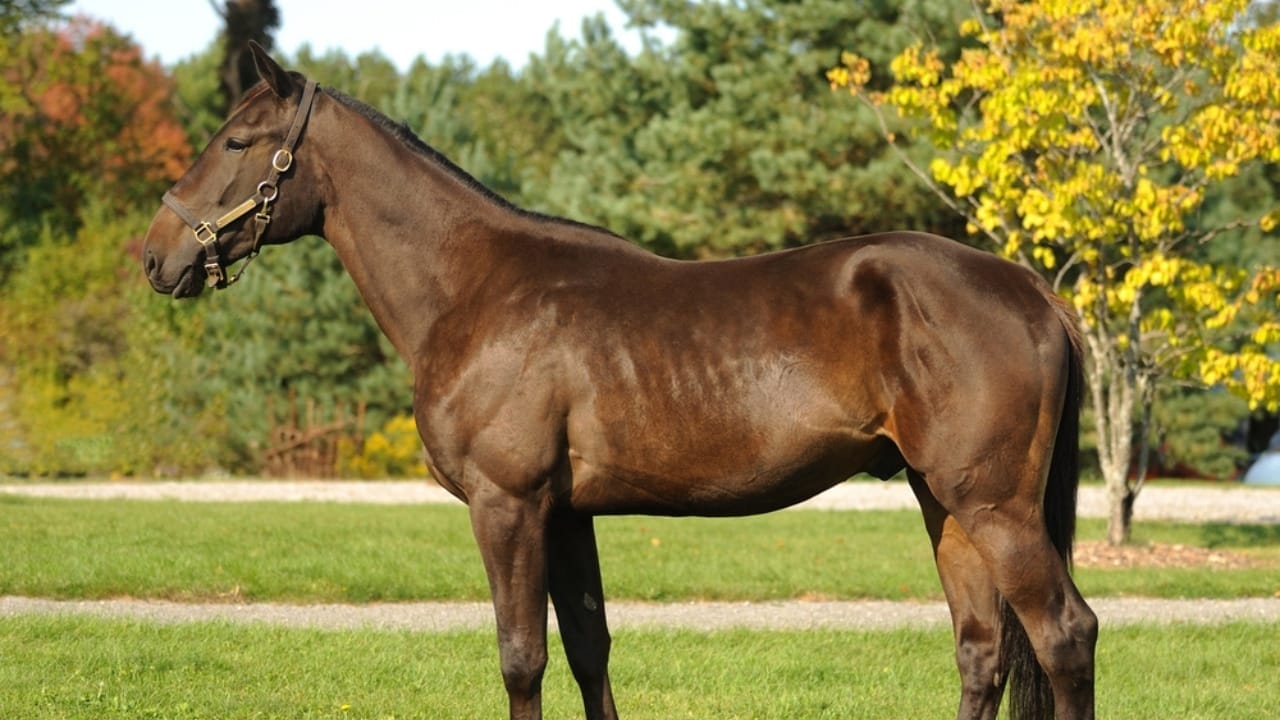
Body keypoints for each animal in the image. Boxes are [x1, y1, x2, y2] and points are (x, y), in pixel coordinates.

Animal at [142, 43, 1096, 720]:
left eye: (237, 142)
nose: (158, 256)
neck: (476, 287)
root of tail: (1031, 289)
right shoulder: (567, 515)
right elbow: (587, 648)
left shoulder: (509, 505)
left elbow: (521, 657)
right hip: (945, 503)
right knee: (981, 648)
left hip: (995, 508)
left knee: (1064, 634)